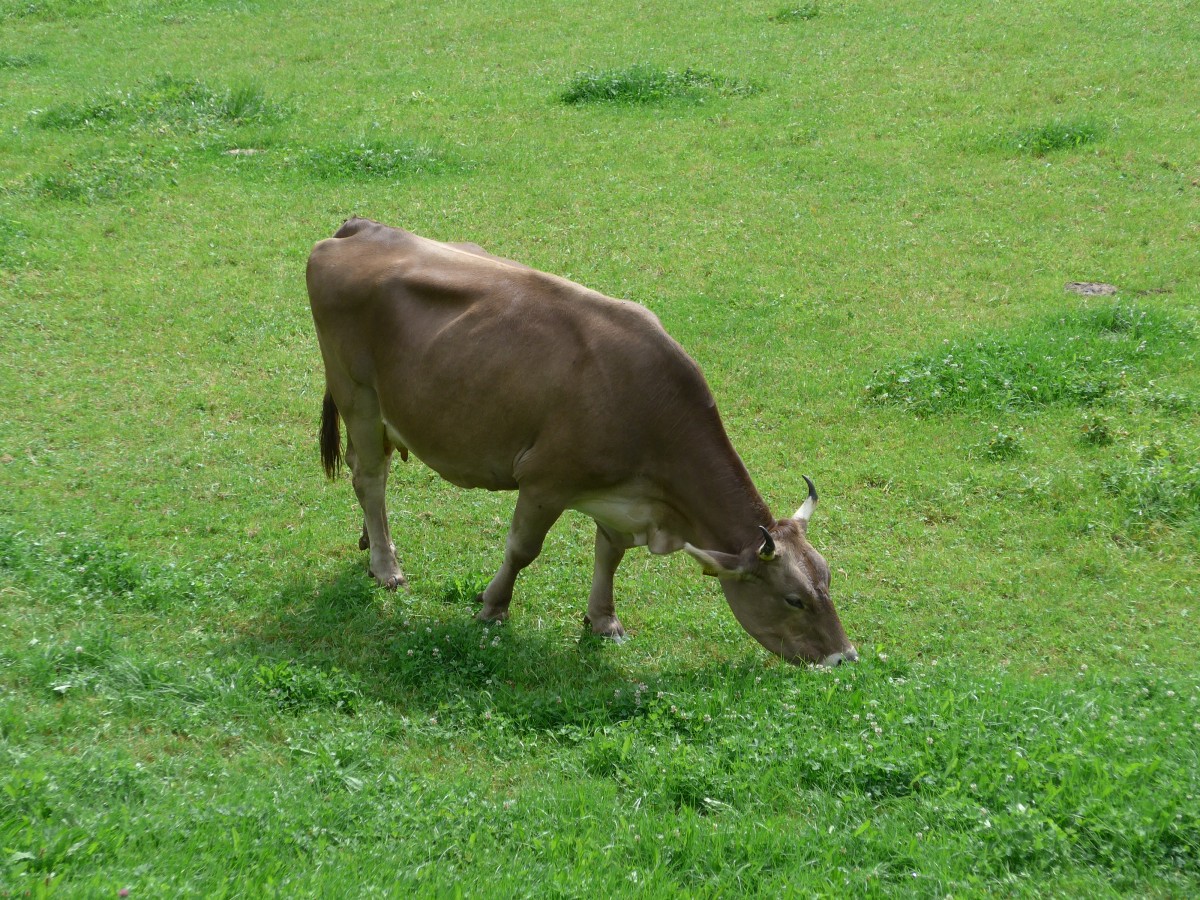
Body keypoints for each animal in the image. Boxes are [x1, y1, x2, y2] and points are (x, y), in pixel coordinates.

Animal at [307, 218, 856, 666]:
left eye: (828, 578)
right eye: (794, 599)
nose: (844, 657)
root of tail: (361, 227)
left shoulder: (621, 497)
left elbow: (609, 553)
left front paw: (604, 619)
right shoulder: (544, 481)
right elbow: (522, 549)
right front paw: (493, 606)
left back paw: (372, 542)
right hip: (357, 393)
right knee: (370, 477)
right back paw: (386, 566)